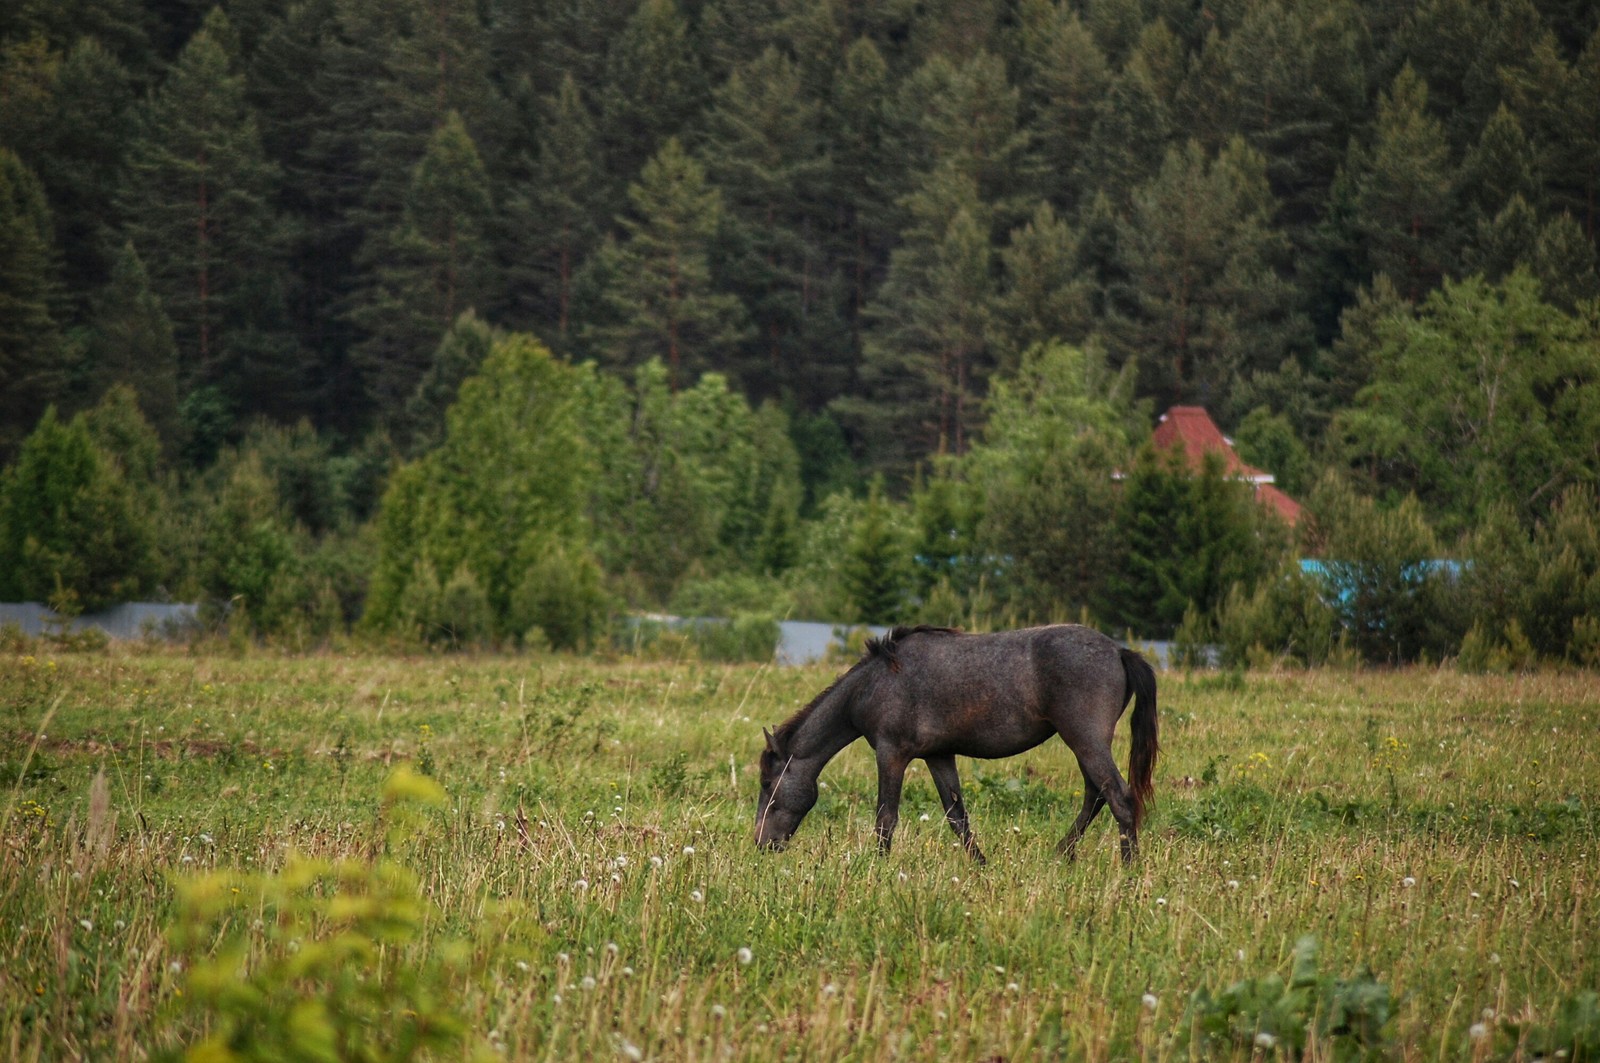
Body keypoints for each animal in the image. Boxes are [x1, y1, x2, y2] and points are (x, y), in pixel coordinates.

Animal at [755, 624, 1158, 864]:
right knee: (1096, 794)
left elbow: (886, 818)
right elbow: (957, 817)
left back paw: (1129, 870)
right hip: (1085, 744)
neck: (873, 686)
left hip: (1084, 739)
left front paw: (878, 867)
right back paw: (1061, 854)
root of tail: (1119, 651)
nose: (761, 844)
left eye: (767, 784)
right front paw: (980, 865)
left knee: (1118, 797)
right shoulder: (938, 755)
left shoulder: (891, 753)